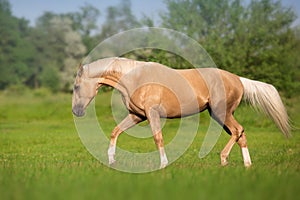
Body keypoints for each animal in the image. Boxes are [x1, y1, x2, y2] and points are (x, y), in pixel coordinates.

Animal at [71, 57, 290, 168]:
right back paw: (246, 165)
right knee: (241, 134)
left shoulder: (151, 114)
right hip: (223, 115)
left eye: (75, 87)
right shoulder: (137, 116)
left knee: (238, 131)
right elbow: (115, 131)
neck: (135, 78)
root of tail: (238, 79)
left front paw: (163, 164)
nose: (76, 111)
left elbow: (158, 138)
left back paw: (223, 159)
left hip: (222, 114)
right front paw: (111, 160)